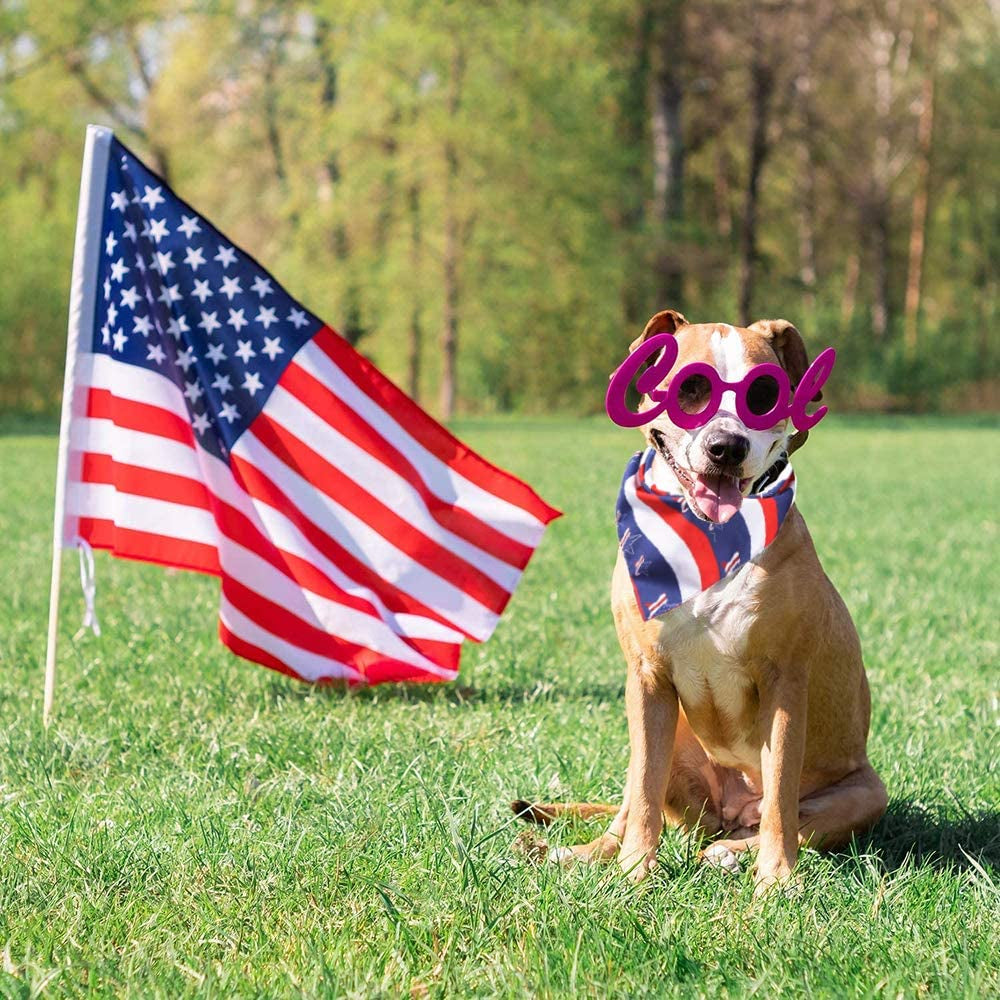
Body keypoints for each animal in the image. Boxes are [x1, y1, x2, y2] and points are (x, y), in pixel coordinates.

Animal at [520, 310, 888, 892]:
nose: (726, 446)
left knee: (790, 821)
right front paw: (635, 870)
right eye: (691, 387)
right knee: (630, 799)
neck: (711, 539)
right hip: (663, 735)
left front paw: (777, 879)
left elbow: (781, 796)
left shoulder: (785, 682)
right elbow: (645, 793)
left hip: (864, 792)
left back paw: (733, 853)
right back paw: (582, 853)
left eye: (763, 395)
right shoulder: (646, 679)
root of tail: (729, 810)